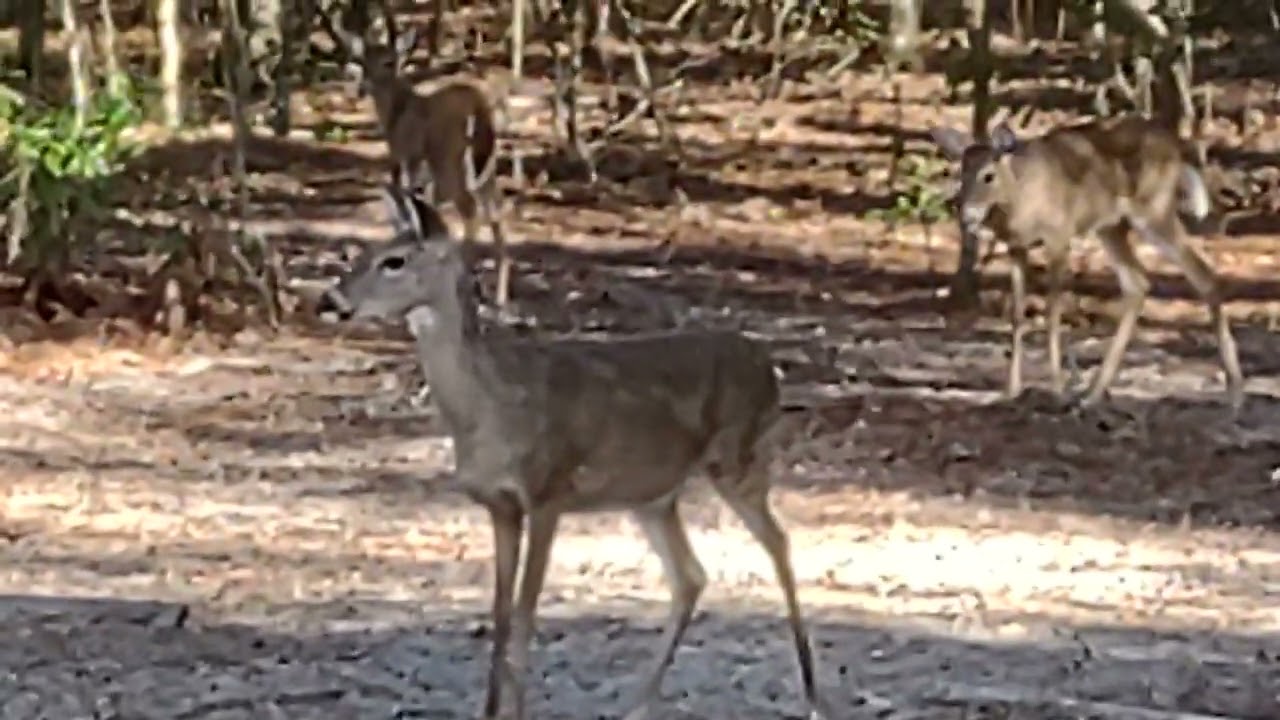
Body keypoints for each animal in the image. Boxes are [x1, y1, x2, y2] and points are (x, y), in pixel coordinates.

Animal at [315, 184, 826, 720]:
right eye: (364, 252)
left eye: (393, 260)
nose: (329, 300)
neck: (490, 405)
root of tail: (767, 363)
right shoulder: (499, 504)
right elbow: (500, 614)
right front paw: (490, 710)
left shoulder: (549, 491)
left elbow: (525, 615)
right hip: (652, 495)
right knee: (690, 576)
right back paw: (637, 704)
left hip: (739, 455)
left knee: (778, 544)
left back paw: (813, 696)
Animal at [336, 23, 514, 307]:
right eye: (362, 60)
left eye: (389, 61)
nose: (362, 87)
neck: (397, 115)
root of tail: (479, 111)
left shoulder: (407, 156)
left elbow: (406, 200)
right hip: (487, 168)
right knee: (498, 211)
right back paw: (500, 296)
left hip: (449, 159)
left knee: (471, 210)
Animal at [929, 114, 1244, 413]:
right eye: (960, 172)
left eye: (988, 175)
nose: (965, 213)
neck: (1020, 202)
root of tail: (1176, 148)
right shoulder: (1016, 247)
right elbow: (1017, 316)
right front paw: (1010, 391)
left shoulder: (1059, 236)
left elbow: (1052, 315)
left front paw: (1057, 391)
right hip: (1112, 227)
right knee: (1138, 283)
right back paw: (1092, 395)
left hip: (1154, 210)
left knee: (1203, 275)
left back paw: (1235, 391)